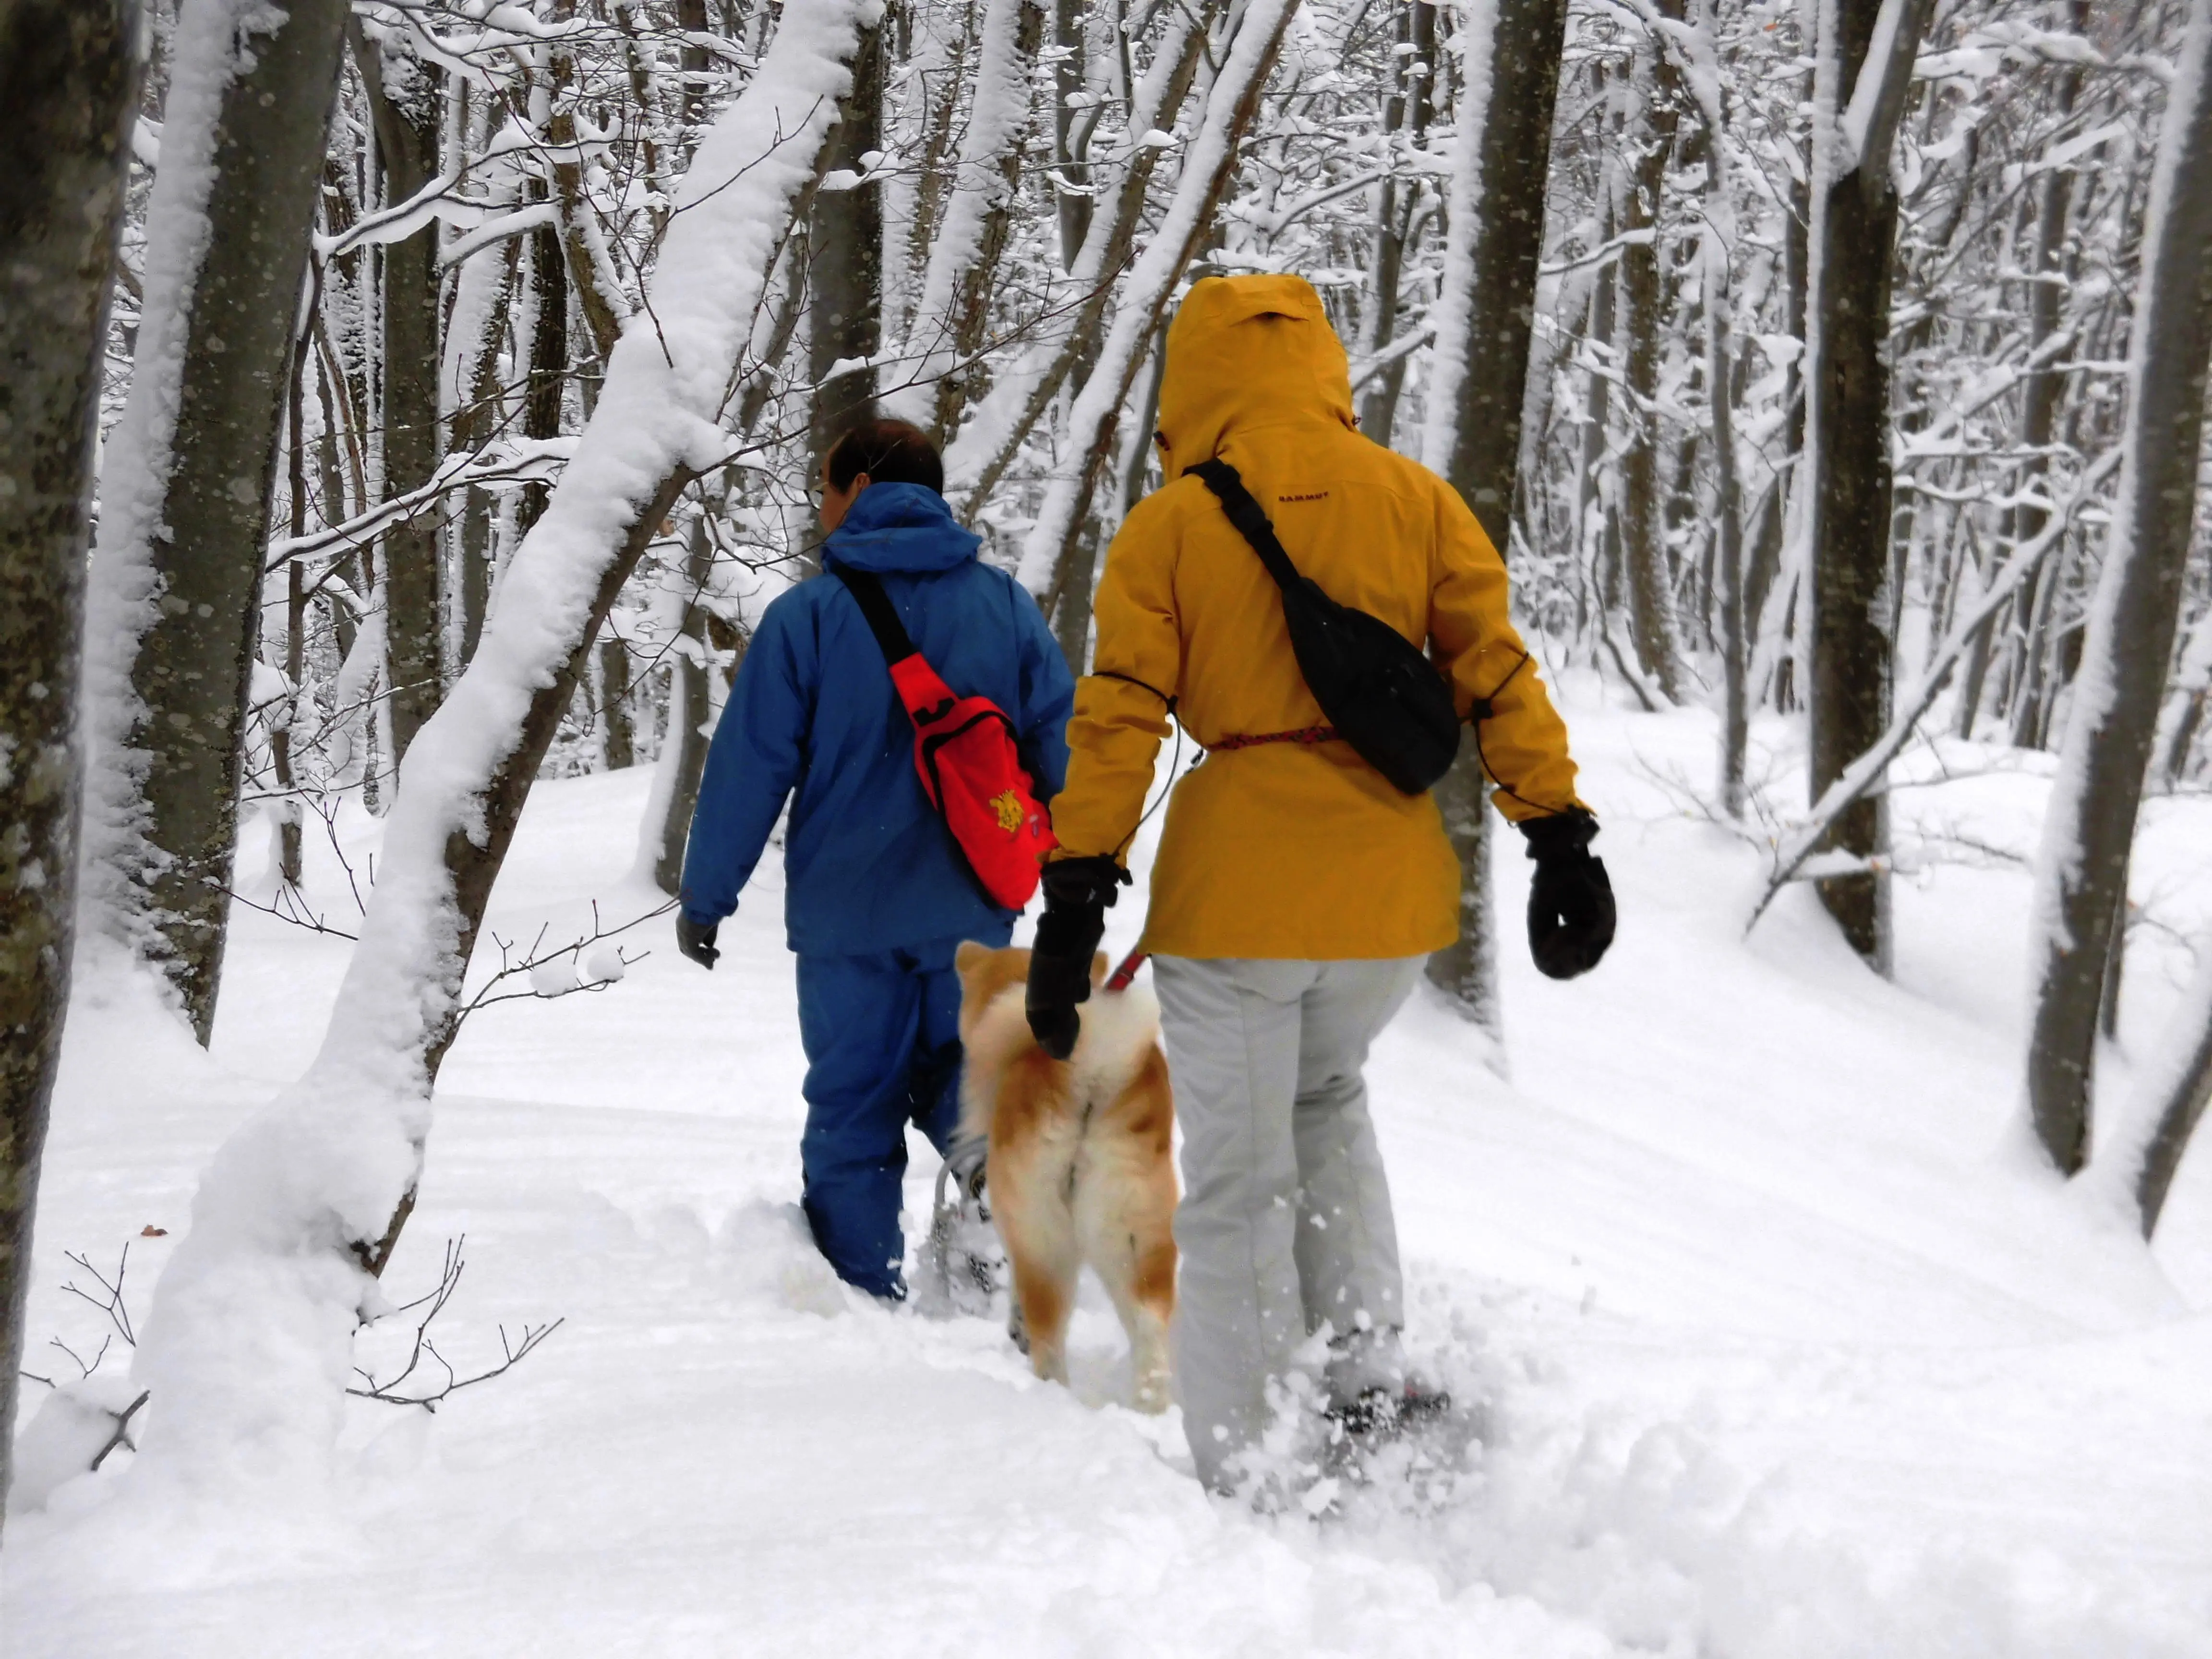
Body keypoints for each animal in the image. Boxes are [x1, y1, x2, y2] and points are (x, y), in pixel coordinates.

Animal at [960, 947, 1185, 1416]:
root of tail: (1095, 1068)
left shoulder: (1015, 1225)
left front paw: (1016, 1329)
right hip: (1137, 1231)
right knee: (1150, 1324)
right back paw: (1151, 1408)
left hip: (1045, 1237)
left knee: (1049, 1336)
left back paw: (1050, 1393)